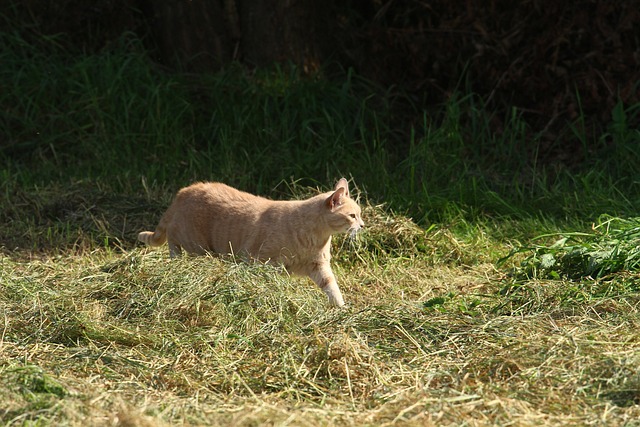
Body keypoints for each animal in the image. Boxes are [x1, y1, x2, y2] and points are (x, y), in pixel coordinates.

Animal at [137, 179, 362, 306]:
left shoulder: (319, 266)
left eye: (359, 214)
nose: (362, 225)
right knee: (174, 245)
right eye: (352, 216)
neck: (314, 236)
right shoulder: (261, 262)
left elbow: (332, 287)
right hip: (195, 246)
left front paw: (341, 309)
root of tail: (183, 192)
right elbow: (266, 283)